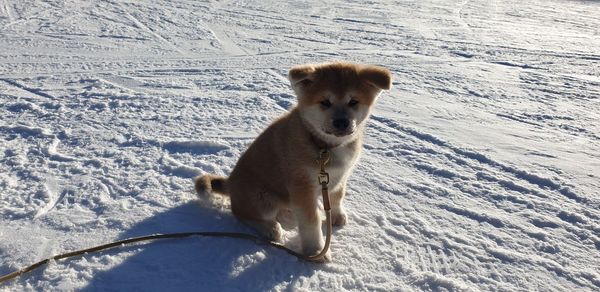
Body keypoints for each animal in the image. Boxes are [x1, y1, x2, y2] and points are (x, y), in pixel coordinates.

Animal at [197, 61, 392, 260]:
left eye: (353, 101)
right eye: (325, 102)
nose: (341, 122)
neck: (323, 147)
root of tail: (230, 183)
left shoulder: (340, 176)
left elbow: (337, 196)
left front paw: (337, 215)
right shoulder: (302, 185)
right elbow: (311, 221)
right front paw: (316, 251)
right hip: (262, 198)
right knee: (242, 213)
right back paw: (271, 228)